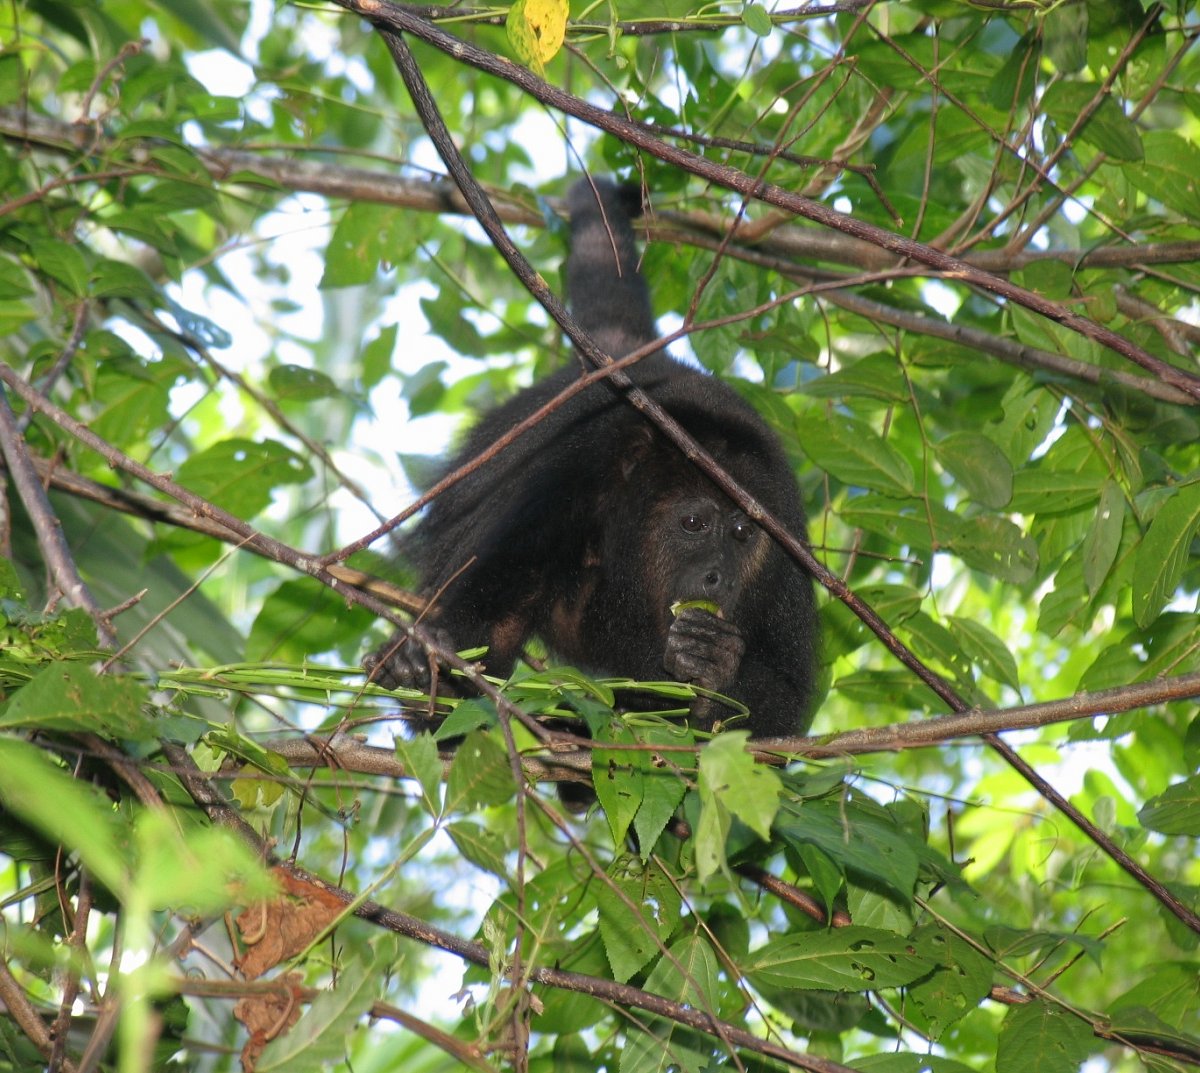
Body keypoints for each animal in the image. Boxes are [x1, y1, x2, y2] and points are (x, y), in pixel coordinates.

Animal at [362, 178, 816, 739]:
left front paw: (716, 668)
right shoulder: (567, 488)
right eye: (693, 523)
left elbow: (783, 715)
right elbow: (491, 628)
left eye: (741, 534)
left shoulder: (787, 542)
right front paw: (433, 676)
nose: (720, 577)